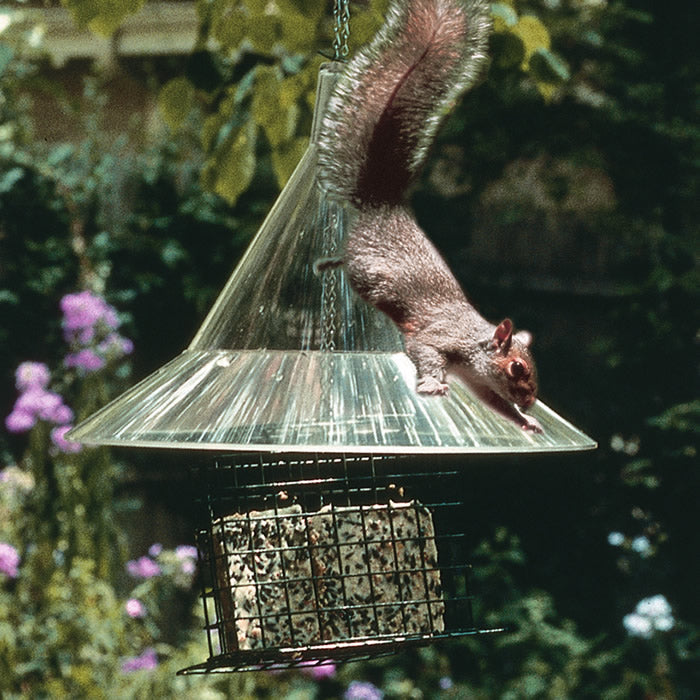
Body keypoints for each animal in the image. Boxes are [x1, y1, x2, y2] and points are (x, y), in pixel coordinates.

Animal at [316, 0, 542, 433]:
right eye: (517, 368)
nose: (531, 401)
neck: (475, 344)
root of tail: (382, 204)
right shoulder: (437, 340)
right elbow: (424, 352)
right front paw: (434, 384)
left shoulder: (477, 381)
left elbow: (495, 403)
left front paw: (524, 422)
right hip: (369, 273)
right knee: (349, 262)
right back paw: (330, 261)